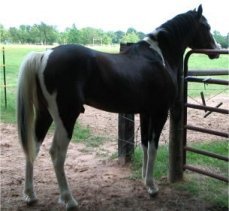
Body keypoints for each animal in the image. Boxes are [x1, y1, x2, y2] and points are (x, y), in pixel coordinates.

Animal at [17, 4, 219, 209]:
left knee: (33, 148)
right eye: (206, 26)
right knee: (57, 153)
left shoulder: (145, 113)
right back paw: (69, 199)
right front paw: (152, 187)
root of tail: (45, 55)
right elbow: (153, 147)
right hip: (66, 117)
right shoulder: (159, 112)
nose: (217, 50)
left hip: (45, 114)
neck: (159, 56)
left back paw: (30, 195)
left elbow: (145, 145)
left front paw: (145, 180)